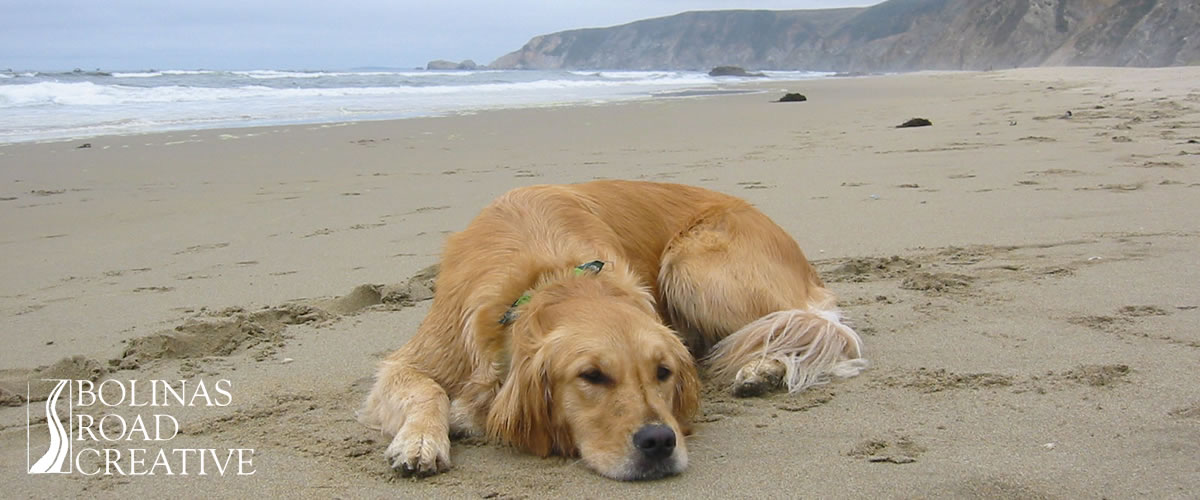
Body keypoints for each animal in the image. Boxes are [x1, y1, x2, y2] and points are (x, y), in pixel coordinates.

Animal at [360, 179, 868, 479]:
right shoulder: (412, 361)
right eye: (591, 376)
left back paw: (763, 370)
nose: (660, 441)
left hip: (693, 267)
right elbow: (427, 389)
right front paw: (421, 440)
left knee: (818, 329)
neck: (547, 275)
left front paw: (461, 417)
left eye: (663, 372)